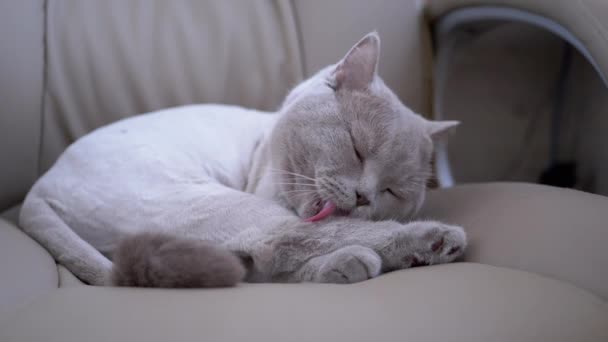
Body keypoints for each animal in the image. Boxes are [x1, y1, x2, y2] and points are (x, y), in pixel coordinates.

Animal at [17, 32, 466, 288]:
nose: (364, 197)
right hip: (200, 201)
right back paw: (430, 242)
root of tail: (37, 189)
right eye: (357, 148)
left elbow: (271, 268)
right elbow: (301, 242)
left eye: (393, 190)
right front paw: (357, 259)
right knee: (287, 238)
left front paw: (341, 267)